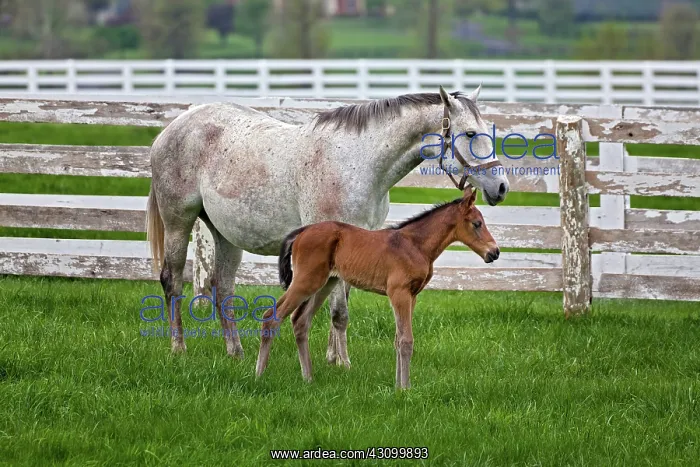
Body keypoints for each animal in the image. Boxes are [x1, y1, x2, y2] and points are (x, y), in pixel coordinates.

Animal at [146, 85, 510, 364]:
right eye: (470, 134)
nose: (501, 186)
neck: (358, 163)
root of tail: (170, 129)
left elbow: (341, 306)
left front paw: (333, 358)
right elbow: (338, 311)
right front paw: (343, 363)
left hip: (225, 236)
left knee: (223, 286)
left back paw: (235, 352)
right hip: (178, 223)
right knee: (172, 281)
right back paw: (178, 349)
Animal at [255, 186, 498, 389]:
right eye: (477, 224)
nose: (494, 252)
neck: (414, 245)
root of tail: (302, 232)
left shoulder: (412, 295)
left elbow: (398, 338)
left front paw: (399, 385)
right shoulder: (398, 292)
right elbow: (406, 340)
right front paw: (405, 389)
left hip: (325, 283)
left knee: (300, 321)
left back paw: (308, 378)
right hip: (307, 281)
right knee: (271, 317)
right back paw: (259, 374)